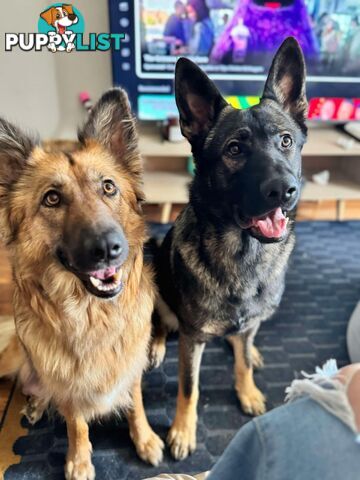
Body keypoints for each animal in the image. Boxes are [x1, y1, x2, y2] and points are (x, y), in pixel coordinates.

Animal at [0, 89, 165, 476]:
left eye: (108, 187)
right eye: (52, 198)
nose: (108, 249)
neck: (93, 315)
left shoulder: (131, 366)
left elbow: (136, 404)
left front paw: (145, 440)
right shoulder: (68, 385)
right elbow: (77, 423)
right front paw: (78, 461)